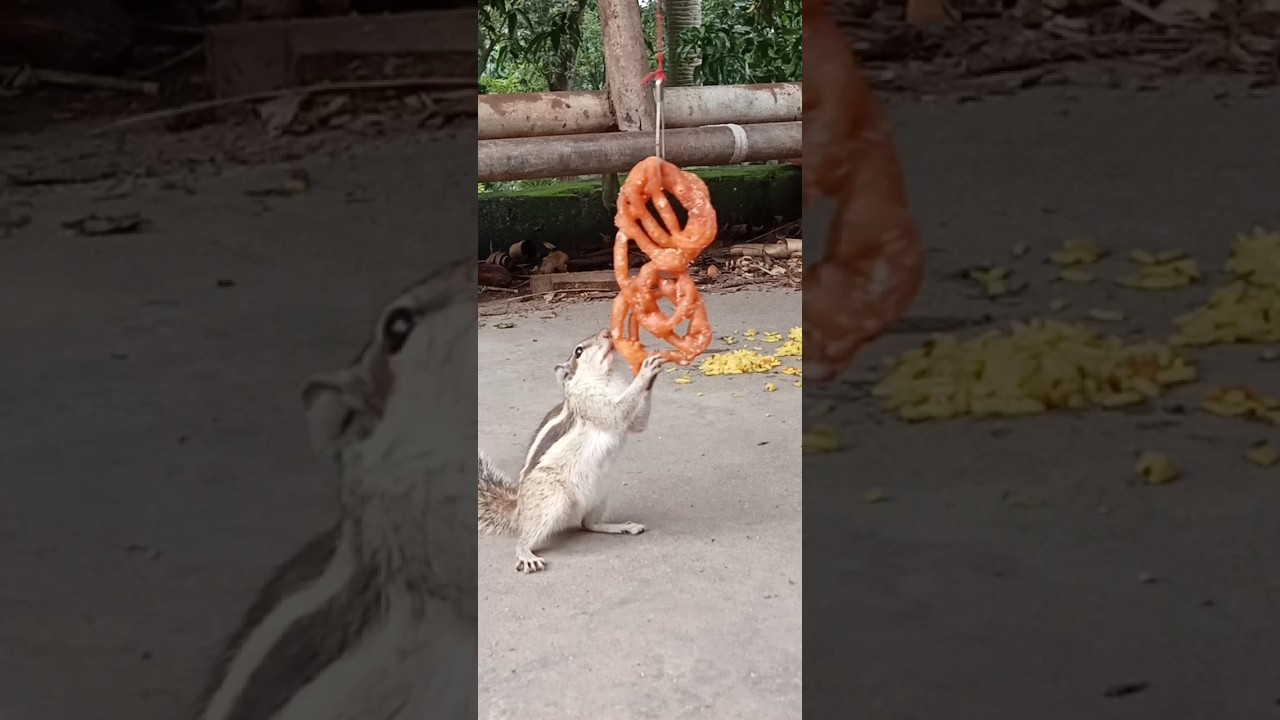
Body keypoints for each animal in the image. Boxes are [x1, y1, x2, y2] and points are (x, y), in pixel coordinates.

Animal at [479, 329, 665, 573]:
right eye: (578, 351)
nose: (607, 332)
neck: (607, 378)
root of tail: (519, 509)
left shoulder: (631, 419)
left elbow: (638, 423)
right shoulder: (590, 403)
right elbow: (618, 410)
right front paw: (645, 370)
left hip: (600, 495)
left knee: (589, 524)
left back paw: (620, 527)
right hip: (550, 499)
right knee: (524, 538)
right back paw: (526, 554)